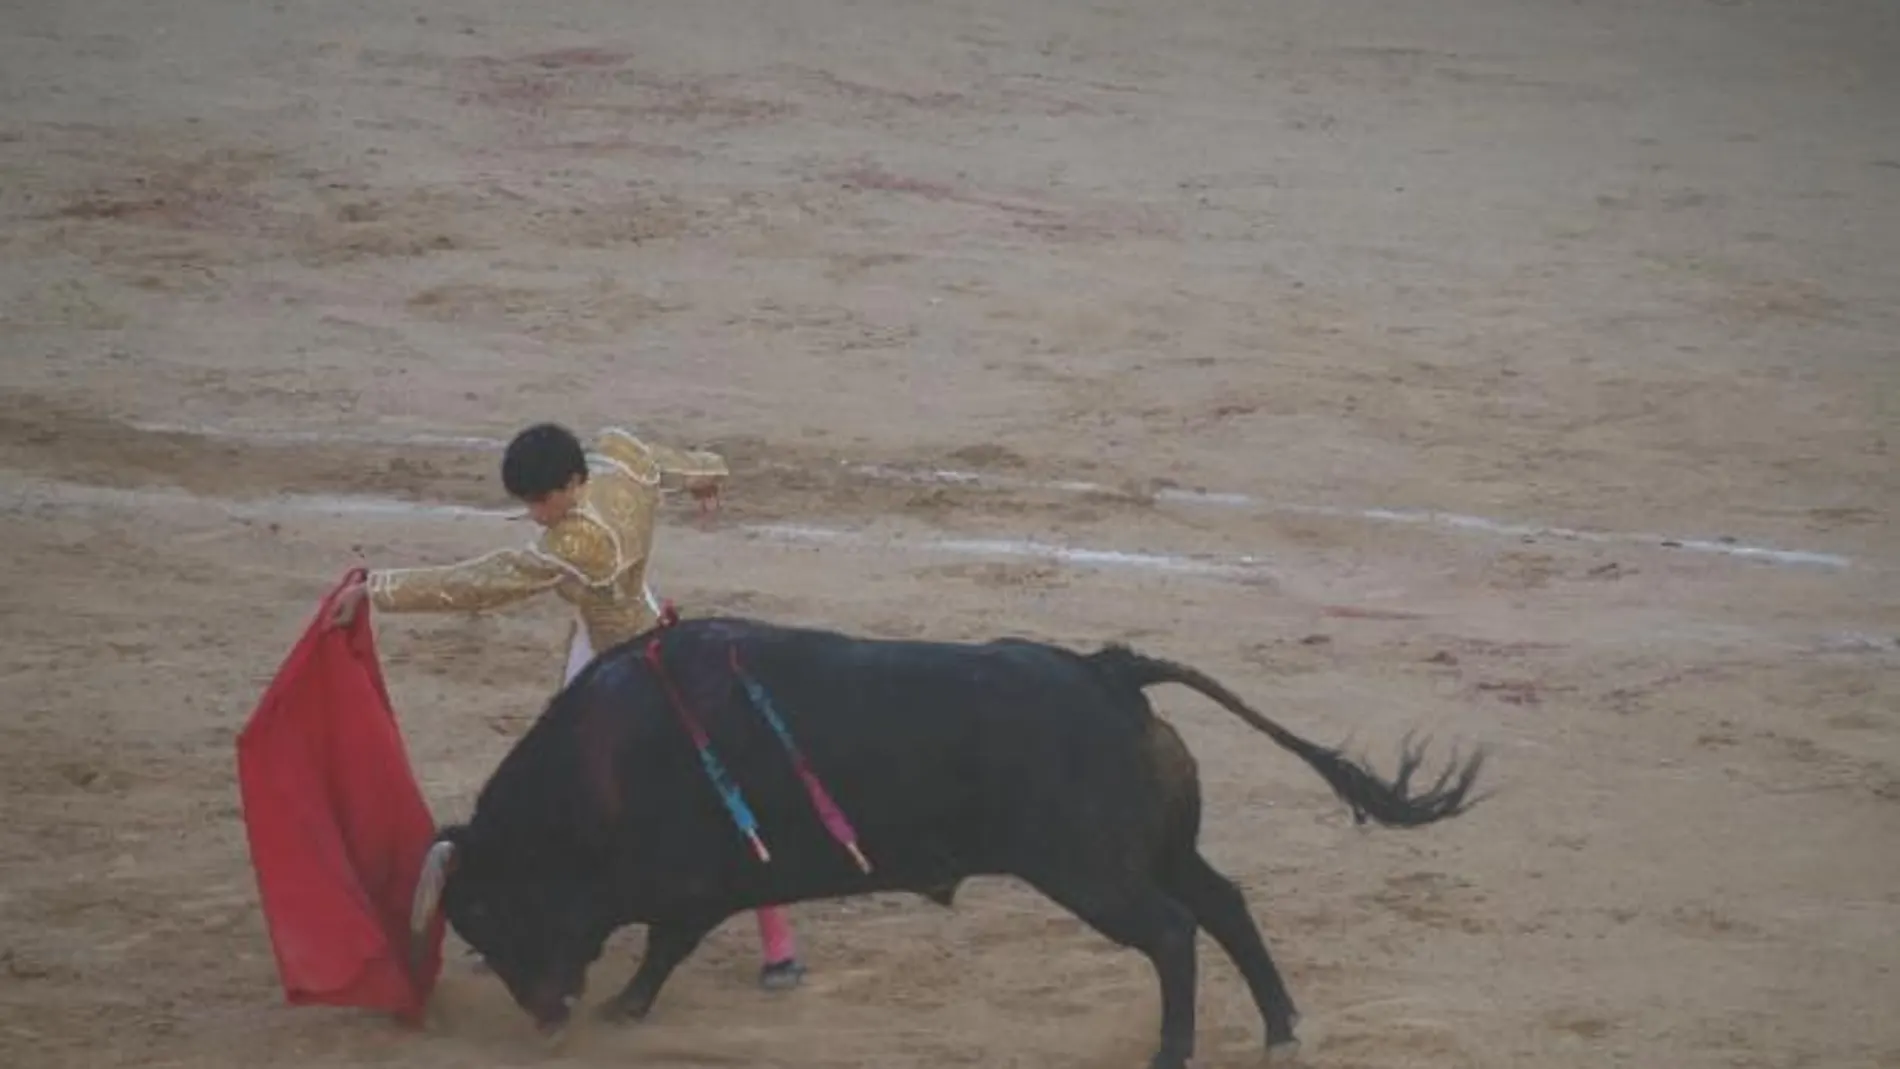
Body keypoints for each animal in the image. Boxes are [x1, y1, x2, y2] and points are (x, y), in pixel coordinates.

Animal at [408, 618, 1489, 1069]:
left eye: (486, 910)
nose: (547, 1018)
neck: (595, 771)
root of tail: (1106, 670)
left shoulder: (691, 884)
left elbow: (664, 945)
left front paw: (623, 1008)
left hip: (1091, 870)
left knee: (1174, 931)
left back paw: (1173, 1050)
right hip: (1152, 850)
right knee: (1222, 903)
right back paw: (1278, 1030)